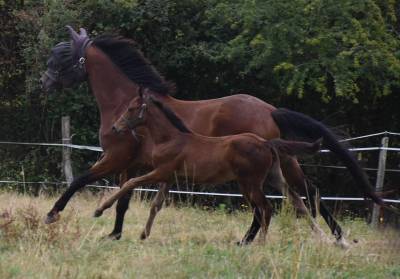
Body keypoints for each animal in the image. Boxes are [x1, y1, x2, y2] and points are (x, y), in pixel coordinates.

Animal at [94, 93, 322, 244]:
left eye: (132, 108)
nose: (116, 127)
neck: (172, 139)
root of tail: (266, 143)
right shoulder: (169, 178)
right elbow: (156, 204)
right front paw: (143, 234)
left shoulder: (161, 171)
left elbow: (130, 183)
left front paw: (99, 210)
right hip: (267, 178)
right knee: (288, 201)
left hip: (251, 182)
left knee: (266, 208)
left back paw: (260, 243)